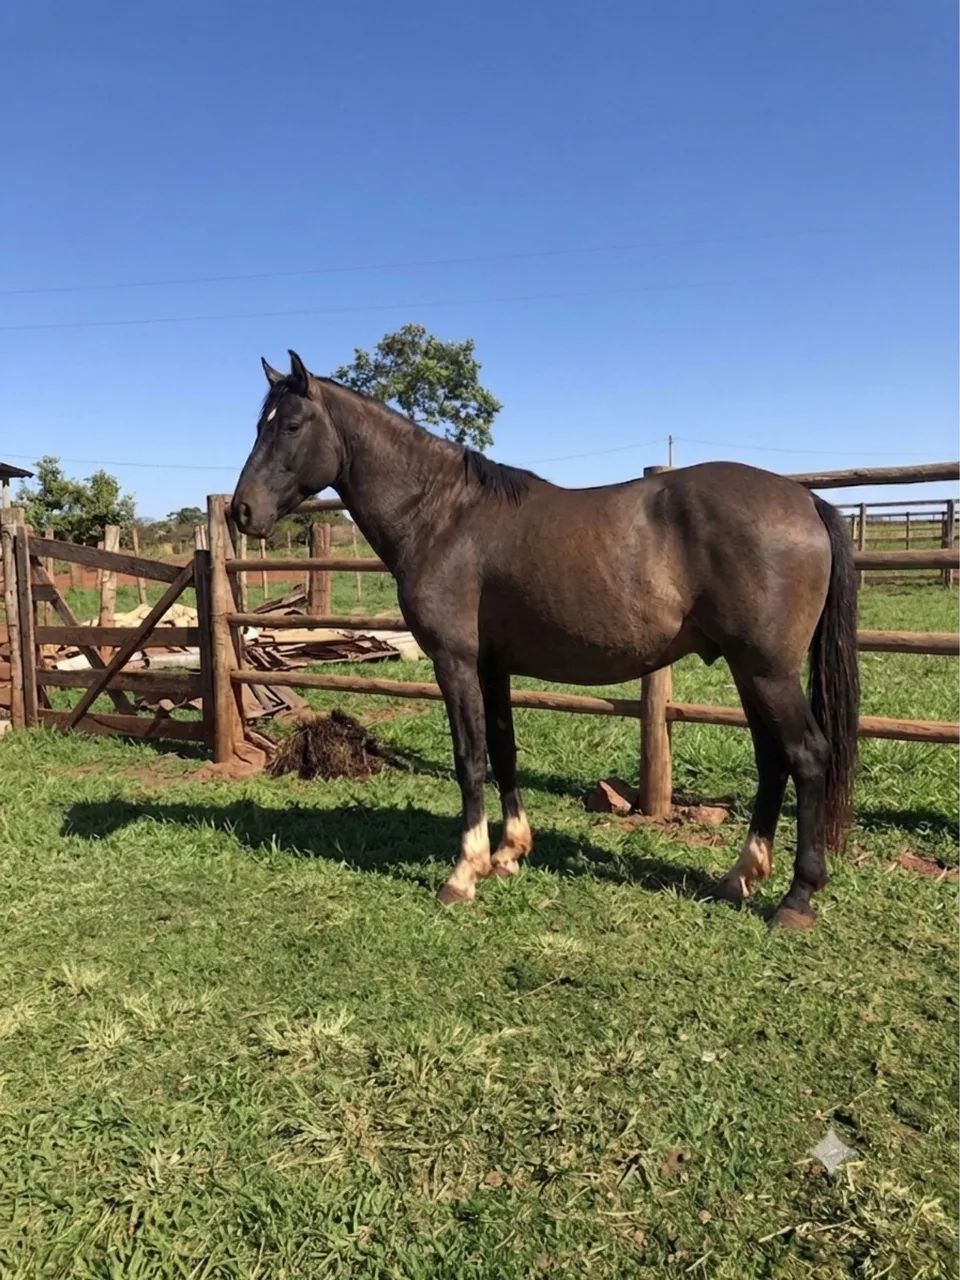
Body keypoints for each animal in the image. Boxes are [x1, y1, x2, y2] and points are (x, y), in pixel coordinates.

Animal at [231, 350, 859, 930]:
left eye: (291, 425)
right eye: (260, 424)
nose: (242, 511)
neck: (442, 515)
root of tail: (806, 500)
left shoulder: (455, 662)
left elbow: (470, 758)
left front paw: (463, 874)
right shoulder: (493, 666)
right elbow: (503, 749)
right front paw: (509, 853)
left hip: (766, 670)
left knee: (806, 755)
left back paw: (796, 899)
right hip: (749, 669)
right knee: (772, 757)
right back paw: (740, 877)